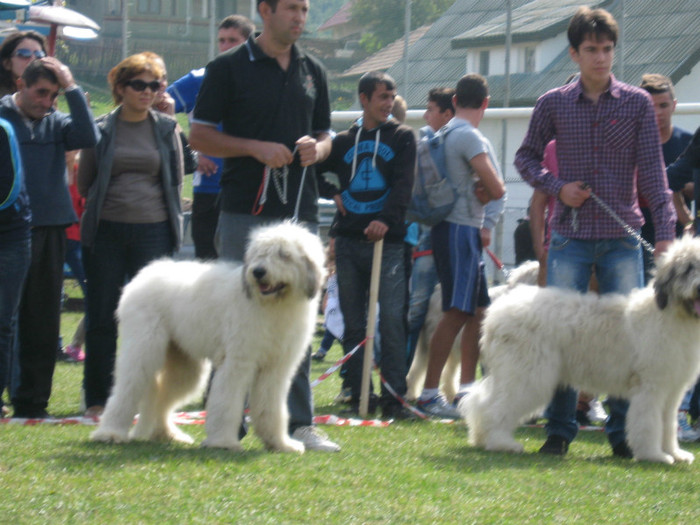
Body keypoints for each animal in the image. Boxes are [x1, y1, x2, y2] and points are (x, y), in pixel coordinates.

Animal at [89, 219, 326, 452]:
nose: (258, 271)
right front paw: (223, 442)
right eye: (259, 253)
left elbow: (271, 406)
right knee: (127, 388)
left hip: (183, 364)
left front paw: (280, 443)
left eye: (284, 255)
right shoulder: (237, 362)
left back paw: (167, 434)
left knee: (162, 397)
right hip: (144, 348)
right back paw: (110, 433)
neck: (274, 306)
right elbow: (227, 401)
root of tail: (143, 275)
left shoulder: (275, 368)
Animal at [462, 235, 700, 460]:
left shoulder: (672, 389)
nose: (698, 287)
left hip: (512, 372)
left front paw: (675, 454)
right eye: (688, 268)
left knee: (483, 402)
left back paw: (481, 438)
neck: (673, 313)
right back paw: (502, 442)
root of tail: (496, 314)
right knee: (498, 408)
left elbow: (668, 424)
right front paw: (654, 455)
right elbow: (650, 423)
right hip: (528, 375)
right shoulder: (651, 386)